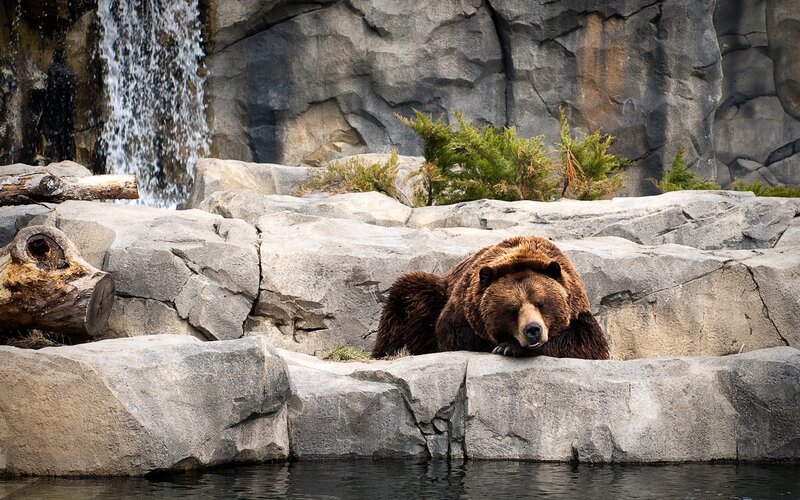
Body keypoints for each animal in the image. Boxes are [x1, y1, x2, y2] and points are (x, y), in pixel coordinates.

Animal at [371, 235, 609, 360]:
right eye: (512, 309)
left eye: (541, 304)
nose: (533, 330)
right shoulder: (462, 310)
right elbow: (455, 335)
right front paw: (505, 345)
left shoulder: (578, 310)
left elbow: (587, 343)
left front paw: (510, 347)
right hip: (433, 293)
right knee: (405, 296)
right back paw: (385, 352)